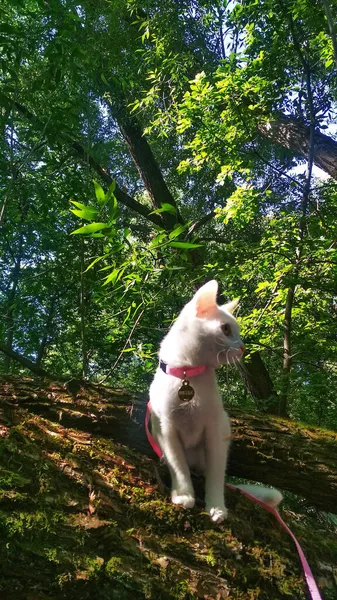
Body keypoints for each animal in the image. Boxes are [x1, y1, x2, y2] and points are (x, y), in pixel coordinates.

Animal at [148, 280, 282, 520]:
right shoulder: (165, 430)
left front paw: (217, 507)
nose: (242, 347)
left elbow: (216, 476)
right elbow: (178, 466)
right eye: (226, 329)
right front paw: (184, 495)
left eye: (238, 332)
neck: (188, 374)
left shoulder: (216, 430)